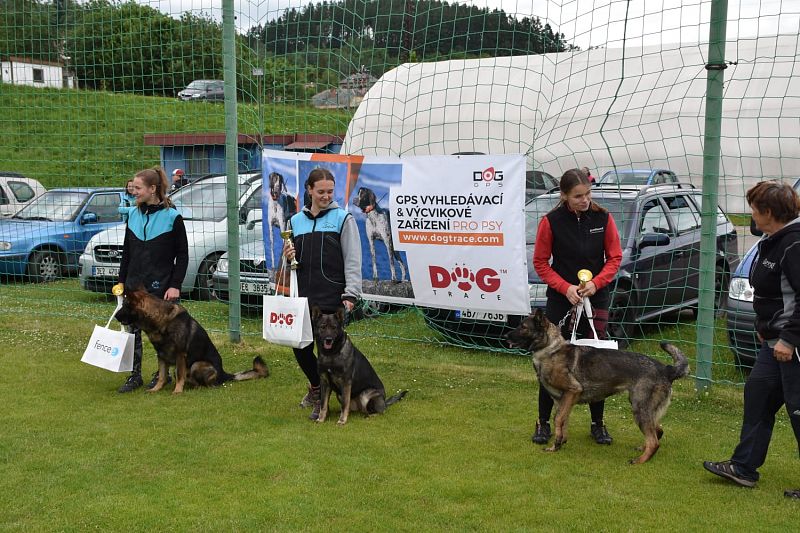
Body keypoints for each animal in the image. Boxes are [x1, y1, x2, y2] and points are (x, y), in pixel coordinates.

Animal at [115, 288, 270, 392]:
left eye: (125, 306)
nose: (115, 316)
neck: (161, 321)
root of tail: (224, 375)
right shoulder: (161, 355)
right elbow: (162, 376)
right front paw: (156, 389)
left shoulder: (180, 355)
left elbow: (179, 375)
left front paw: (177, 391)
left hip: (197, 365)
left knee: (208, 384)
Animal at [510, 308, 692, 462]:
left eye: (523, 327)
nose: (506, 336)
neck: (550, 350)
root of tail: (666, 369)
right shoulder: (562, 400)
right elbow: (563, 420)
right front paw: (560, 442)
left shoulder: (573, 391)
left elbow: (558, 419)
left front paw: (555, 446)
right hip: (645, 409)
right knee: (658, 430)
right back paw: (643, 448)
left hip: (639, 408)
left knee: (654, 440)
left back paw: (640, 460)